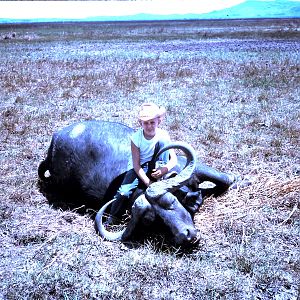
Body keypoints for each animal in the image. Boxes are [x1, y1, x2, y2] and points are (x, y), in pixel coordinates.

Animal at [38, 120, 237, 246]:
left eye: (170, 202)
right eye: (153, 221)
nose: (186, 236)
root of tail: (55, 139)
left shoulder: (192, 167)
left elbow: (225, 180)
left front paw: (236, 181)